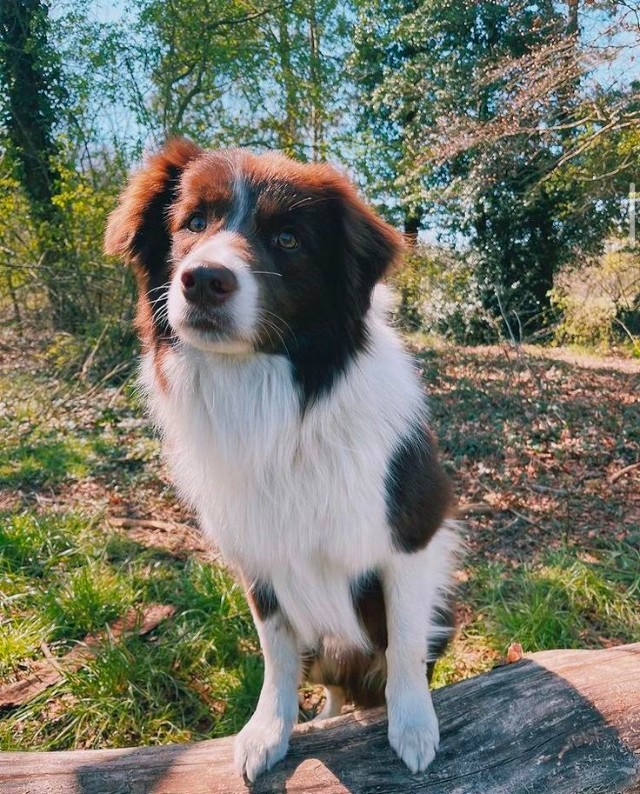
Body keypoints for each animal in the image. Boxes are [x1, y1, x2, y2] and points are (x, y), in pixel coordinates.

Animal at [105, 139, 459, 781]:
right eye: (193, 222)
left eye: (289, 239)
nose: (203, 281)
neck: (274, 400)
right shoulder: (256, 553)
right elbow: (278, 653)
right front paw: (270, 729)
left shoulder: (412, 536)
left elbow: (403, 645)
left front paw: (414, 727)